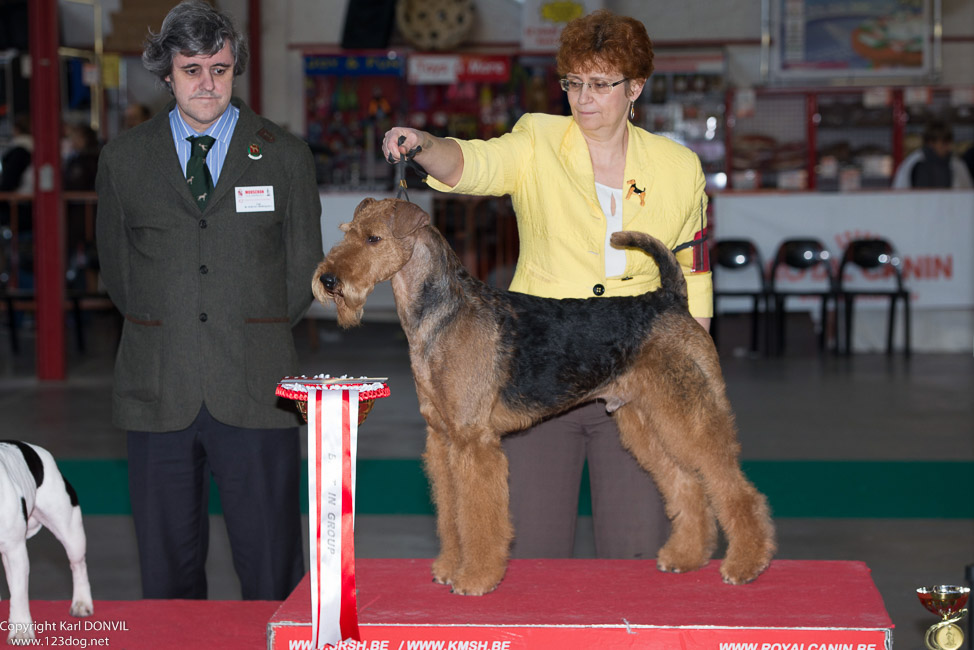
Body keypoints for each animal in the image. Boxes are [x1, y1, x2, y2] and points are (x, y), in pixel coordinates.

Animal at [0, 440, 92, 644]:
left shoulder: (14, 550)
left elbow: (19, 594)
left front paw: (21, 632)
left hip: (70, 530)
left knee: (78, 565)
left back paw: (81, 603)